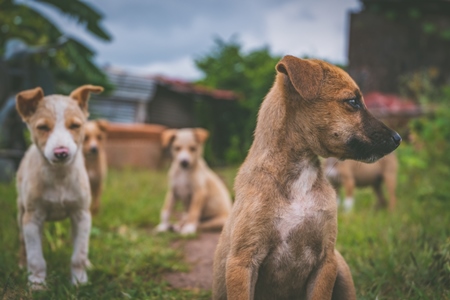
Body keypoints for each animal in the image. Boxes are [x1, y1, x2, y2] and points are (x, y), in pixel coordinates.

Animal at [15, 85, 103, 288]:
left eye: (75, 126)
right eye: (42, 127)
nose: (61, 152)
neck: (59, 177)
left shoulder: (82, 215)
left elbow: (79, 254)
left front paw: (79, 282)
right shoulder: (32, 218)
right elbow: (36, 258)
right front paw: (37, 284)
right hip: (21, 213)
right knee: (24, 243)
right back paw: (22, 264)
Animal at [213, 55, 402, 298]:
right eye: (353, 102)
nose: (398, 138)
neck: (298, 179)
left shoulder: (326, 260)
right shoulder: (243, 261)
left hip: (342, 267)